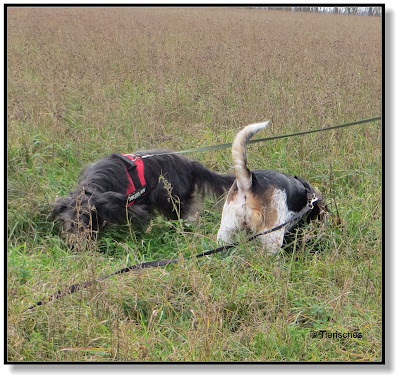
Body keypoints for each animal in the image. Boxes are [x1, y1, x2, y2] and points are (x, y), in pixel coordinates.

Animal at [53, 151, 234, 238]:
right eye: (67, 219)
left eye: (84, 215)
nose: (73, 241)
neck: (92, 189)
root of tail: (190, 164)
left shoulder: (130, 208)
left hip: (170, 197)